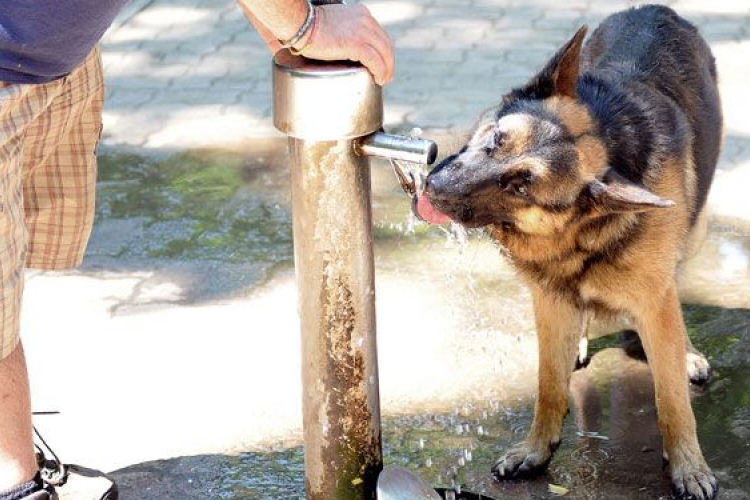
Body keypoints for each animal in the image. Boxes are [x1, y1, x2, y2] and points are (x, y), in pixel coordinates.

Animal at [418, 4, 724, 500]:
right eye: (496, 139)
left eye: (521, 185)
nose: (433, 187)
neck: (581, 235)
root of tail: (655, 9)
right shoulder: (549, 297)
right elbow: (548, 385)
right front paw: (535, 449)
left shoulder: (654, 301)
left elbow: (672, 399)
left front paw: (688, 465)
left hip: (692, 234)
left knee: (676, 288)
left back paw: (687, 352)